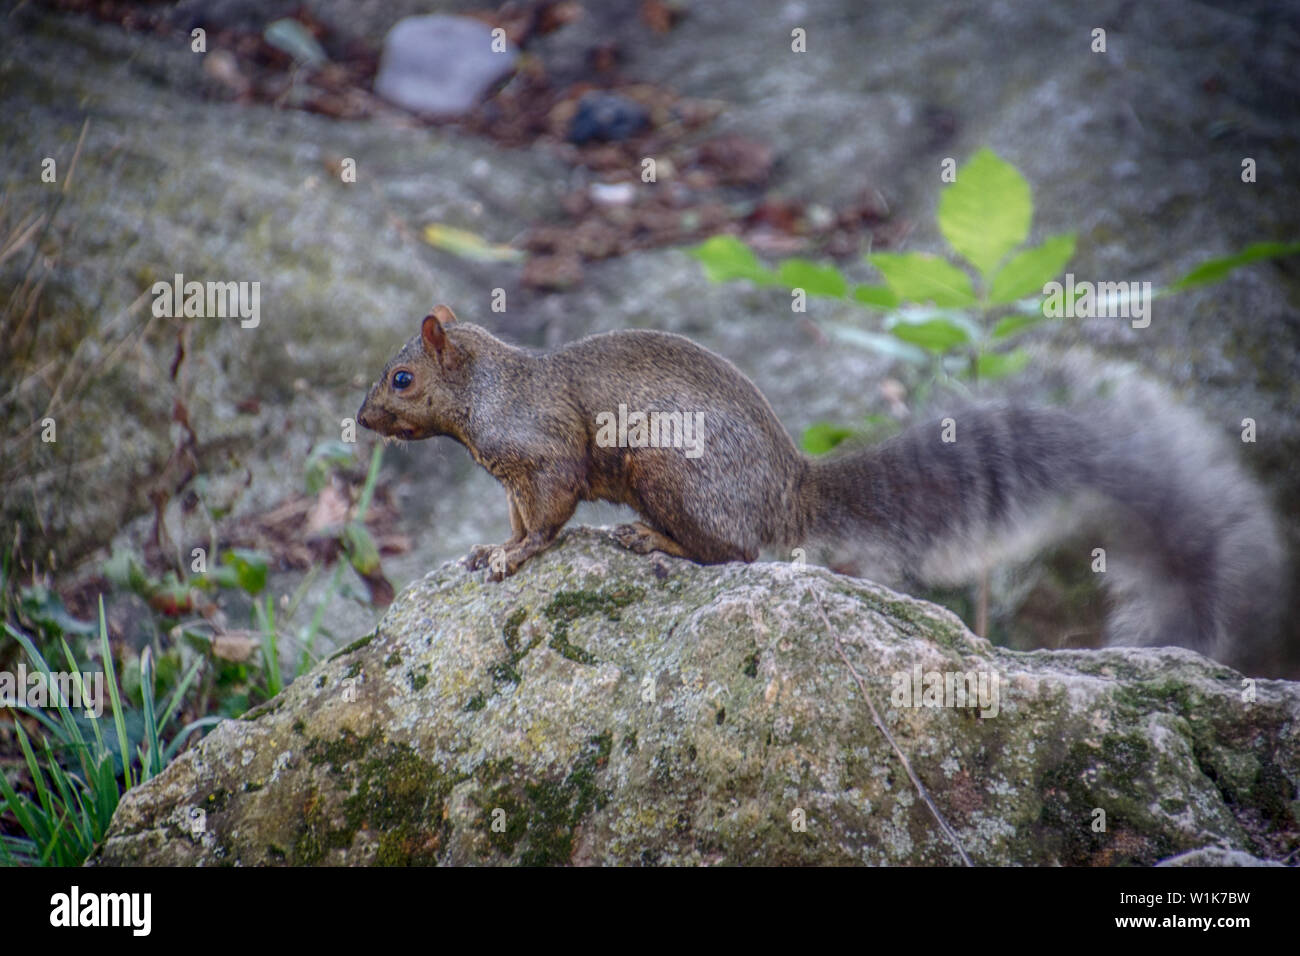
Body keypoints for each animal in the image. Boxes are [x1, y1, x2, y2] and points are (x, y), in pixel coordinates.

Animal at [358, 304, 1289, 665]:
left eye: (402, 378)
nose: (362, 418)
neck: (487, 392)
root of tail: (790, 490)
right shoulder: (512, 475)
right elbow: (523, 518)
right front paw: (495, 548)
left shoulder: (546, 452)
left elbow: (551, 515)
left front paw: (518, 558)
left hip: (672, 473)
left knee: (732, 554)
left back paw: (653, 539)